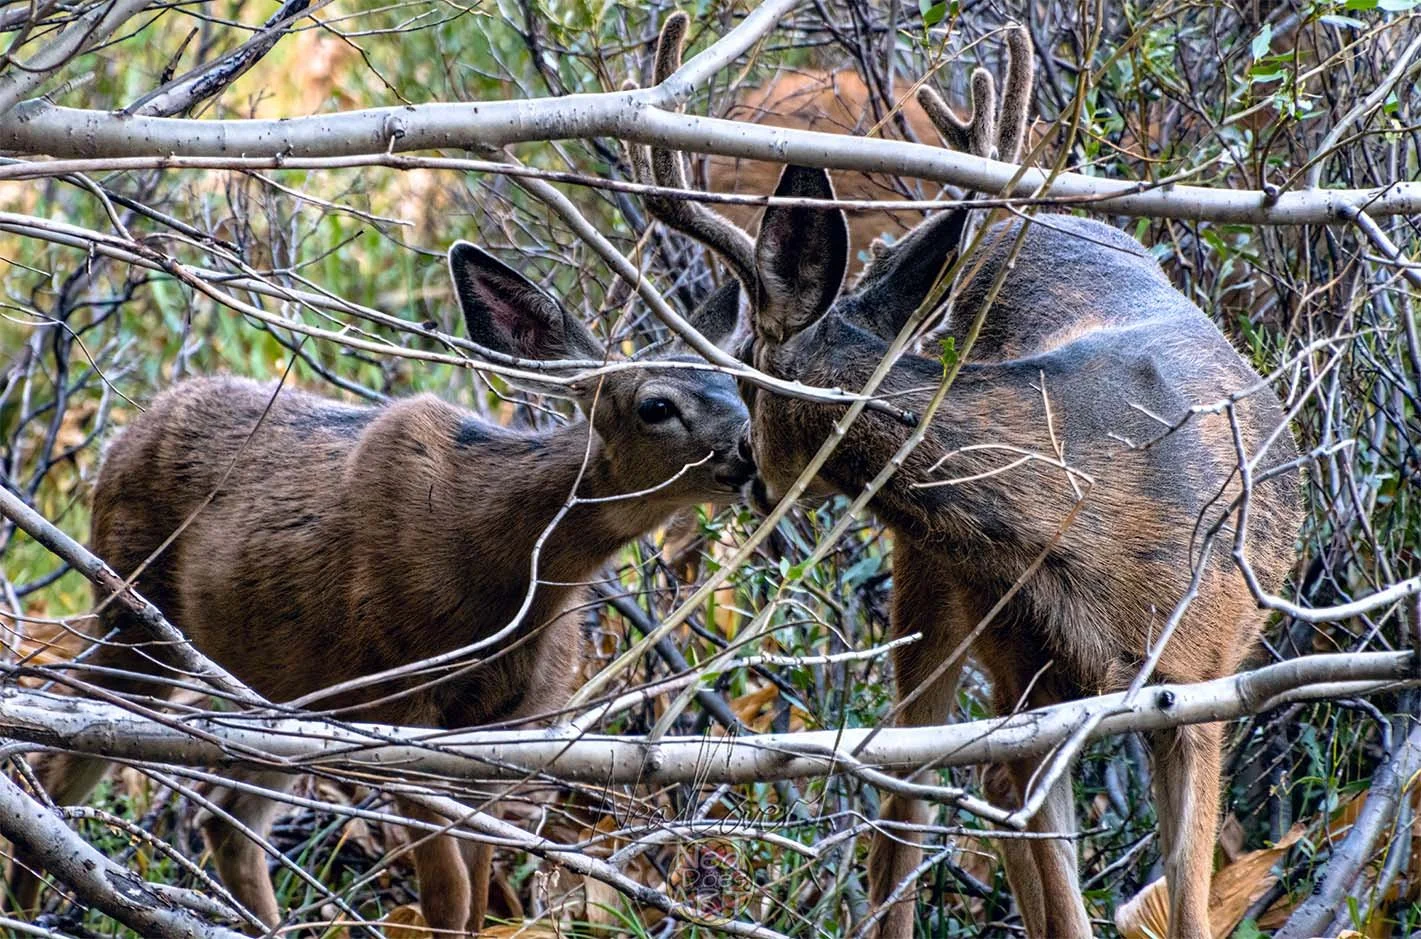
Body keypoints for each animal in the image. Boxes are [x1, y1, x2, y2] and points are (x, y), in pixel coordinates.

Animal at [5, 241, 755, 935]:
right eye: (656, 405)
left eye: (736, 385)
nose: (750, 452)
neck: (509, 573)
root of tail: (118, 441)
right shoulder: (401, 702)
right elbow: (449, 894)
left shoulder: (511, 728)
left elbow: (478, 894)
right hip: (134, 615)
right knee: (57, 759)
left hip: (284, 687)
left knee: (224, 816)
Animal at [636, 14, 1302, 939]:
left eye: (745, 378)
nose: (743, 471)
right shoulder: (1032, 705)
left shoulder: (1199, 685)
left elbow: (1188, 908)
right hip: (937, 591)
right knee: (906, 803)